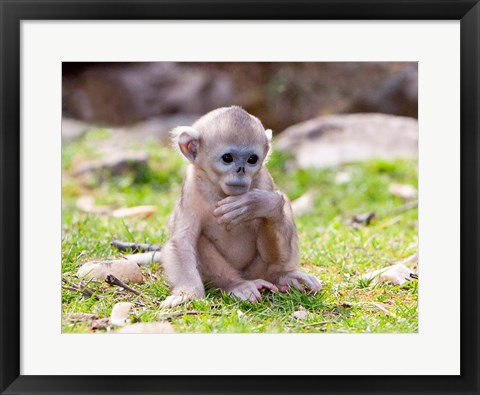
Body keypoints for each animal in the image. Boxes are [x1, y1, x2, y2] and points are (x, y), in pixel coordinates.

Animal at [159, 106, 320, 308]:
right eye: (227, 158)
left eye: (252, 159)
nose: (241, 170)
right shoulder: (191, 189)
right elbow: (182, 242)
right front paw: (188, 293)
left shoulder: (265, 182)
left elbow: (274, 213)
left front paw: (258, 204)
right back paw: (236, 285)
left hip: (257, 270)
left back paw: (282, 276)